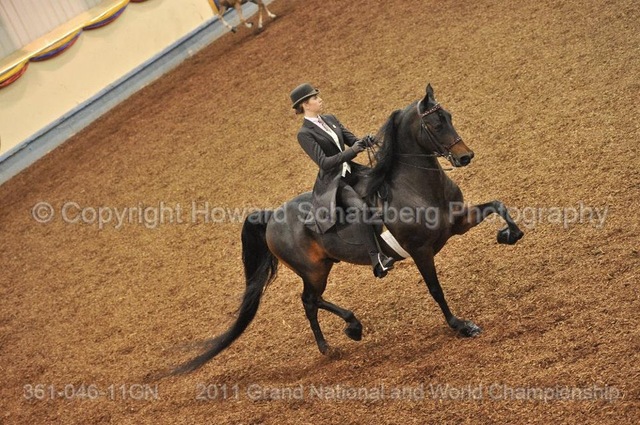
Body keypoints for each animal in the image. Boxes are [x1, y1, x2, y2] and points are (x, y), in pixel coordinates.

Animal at [169, 83, 524, 375]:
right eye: (435, 123)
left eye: (448, 116)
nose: (465, 156)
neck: (418, 187)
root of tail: (272, 217)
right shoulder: (420, 250)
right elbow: (436, 290)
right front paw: (461, 325)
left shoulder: (457, 223)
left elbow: (498, 205)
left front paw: (510, 234)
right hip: (313, 270)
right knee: (309, 300)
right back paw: (341, 336)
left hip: (322, 266)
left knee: (311, 302)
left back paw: (341, 336)